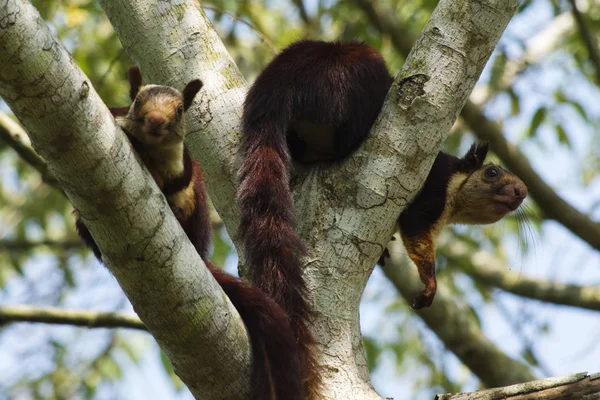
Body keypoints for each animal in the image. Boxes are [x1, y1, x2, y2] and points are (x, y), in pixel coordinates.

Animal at [237, 39, 528, 396]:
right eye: (492, 173)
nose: (522, 192)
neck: (454, 195)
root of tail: (278, 83)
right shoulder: (428, 198)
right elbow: (417, 236)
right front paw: (430, 283)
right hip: (347, 83)